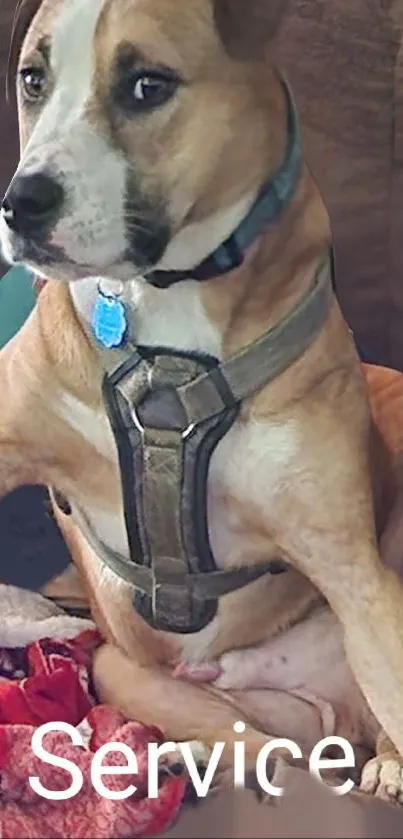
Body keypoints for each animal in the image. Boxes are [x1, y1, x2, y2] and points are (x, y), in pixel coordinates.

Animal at [0, 0, 403, 800]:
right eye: (32, 79)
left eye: (147, 86)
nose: (19, 204)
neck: (167, 301)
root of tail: (333, 717)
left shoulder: (355, 570)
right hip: (124, 670)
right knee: (260, 752)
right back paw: (163, 761)